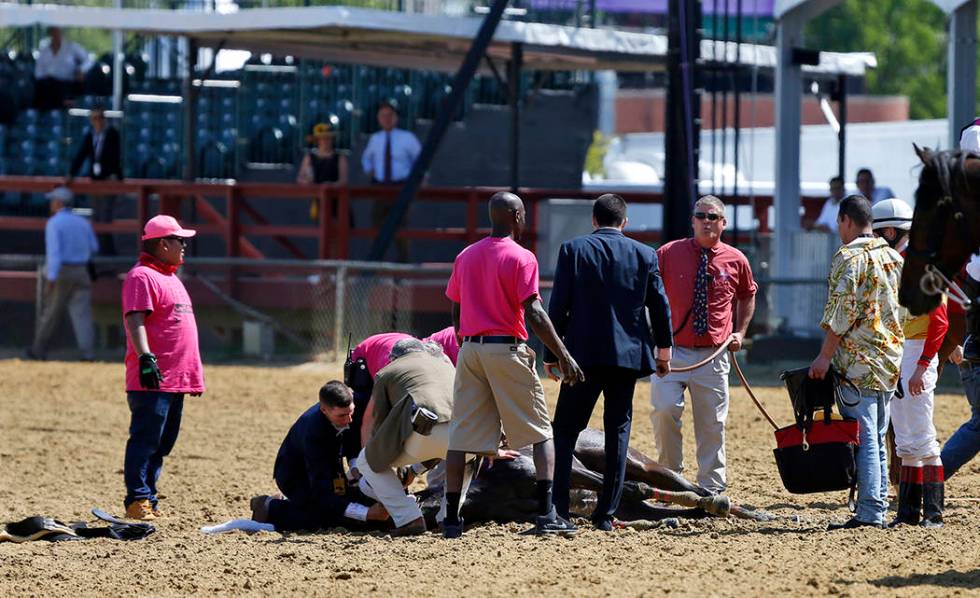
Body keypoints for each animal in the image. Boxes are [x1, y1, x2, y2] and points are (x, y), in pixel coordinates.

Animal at [418, 428, 776, 528]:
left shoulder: (567, 471)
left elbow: (625, 486)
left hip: (640, 463)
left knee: (690, 488)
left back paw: (749, 511)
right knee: (675, 509)